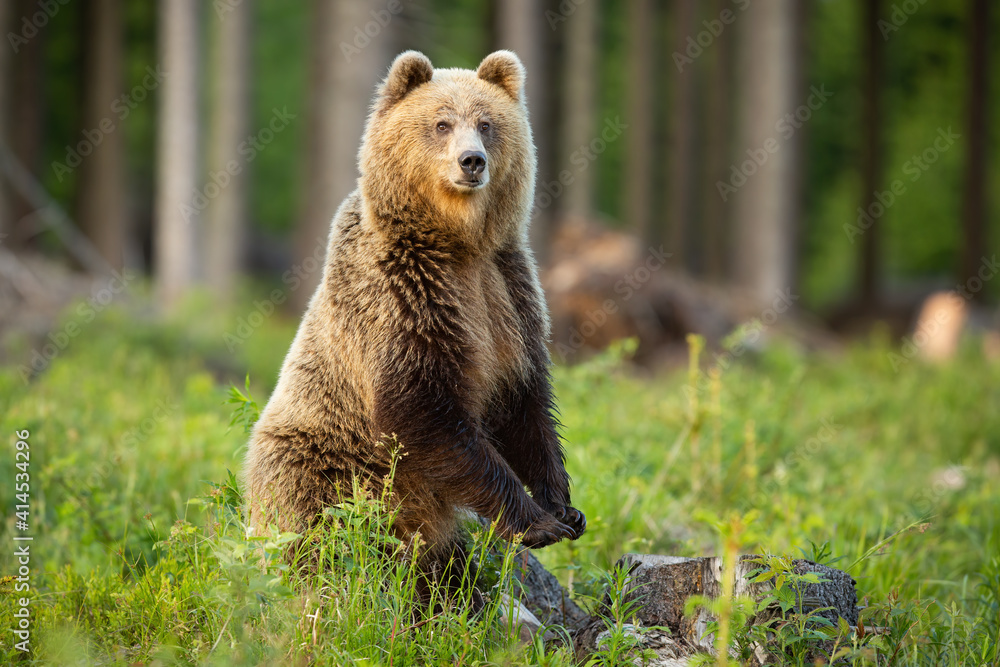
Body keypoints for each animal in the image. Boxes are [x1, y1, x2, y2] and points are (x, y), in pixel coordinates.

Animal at [243, 49, 584, 568]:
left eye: (486, 123)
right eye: (442, 123)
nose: (472, 161)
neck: (457, 242)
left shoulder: (508, 290)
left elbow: (525, 403)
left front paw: (564, 506)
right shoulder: (404, 294)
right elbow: (422, 409)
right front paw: (535, 522)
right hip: (322, 465)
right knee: (315, 532)